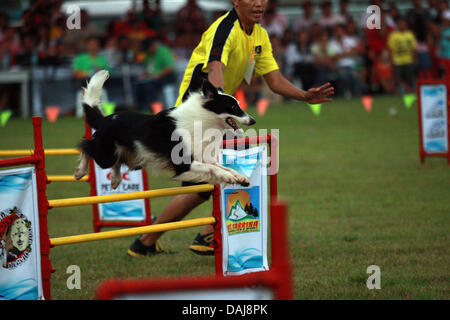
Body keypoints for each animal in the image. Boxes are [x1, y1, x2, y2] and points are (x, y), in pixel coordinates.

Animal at [74, 70, 256, 189]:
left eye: (239, 105)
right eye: (233, 107)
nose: (252, 120)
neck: (203, 119)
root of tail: (106, 119)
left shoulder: (202, 157)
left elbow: (223, 167)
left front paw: (239, 177)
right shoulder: (183, 163)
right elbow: (214, 169)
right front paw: (228, 177)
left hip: (133, 156)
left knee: (117, 161)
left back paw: (115, 179)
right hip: (106, 154)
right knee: (86, 146)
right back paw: (80, 171)